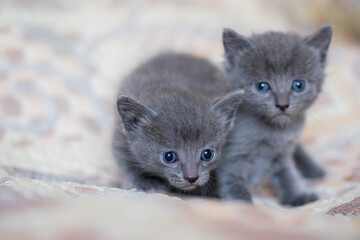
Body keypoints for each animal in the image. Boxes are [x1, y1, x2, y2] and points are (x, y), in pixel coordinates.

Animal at [112, 52, 242, 197]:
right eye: (169, 157)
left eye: (207, 154)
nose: (192, 177)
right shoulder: (120, 139)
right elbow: (126, 164)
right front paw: (147, 183)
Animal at [217, 24, 332, 206]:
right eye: (262, 86)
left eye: (298, 85)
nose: (282, 104)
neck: (273, 132)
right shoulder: (231, 155)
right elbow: (231, 180)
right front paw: (244, 205)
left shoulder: (282, 153)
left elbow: (287, 175)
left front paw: (296, 197)